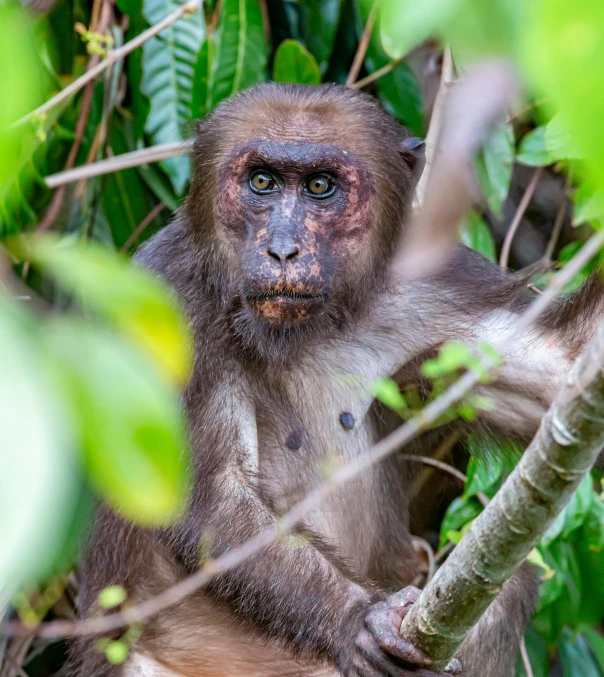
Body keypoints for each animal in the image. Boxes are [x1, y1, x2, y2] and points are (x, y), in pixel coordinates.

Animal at [74, 83, 604, 676]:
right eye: (262, 182)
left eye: (320, 187)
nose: (283, 248)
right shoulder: (167, 294)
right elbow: (209, 491)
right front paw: (358, 622)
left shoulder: (450, 288)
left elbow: (558, 368)